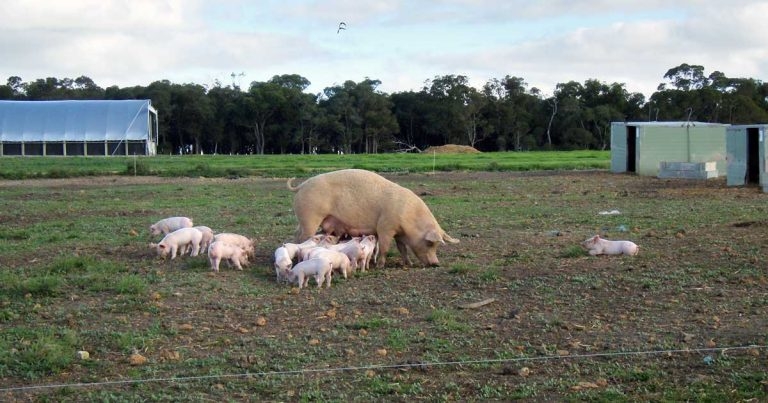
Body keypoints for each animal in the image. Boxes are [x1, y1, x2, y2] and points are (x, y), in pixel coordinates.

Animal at [287, 169, 459, 268]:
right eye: (430, 243)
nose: (436, 264)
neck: (409, 217)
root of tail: (301, 185)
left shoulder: (399, 233)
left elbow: (402, 248)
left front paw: (408, 264)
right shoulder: (385, 227)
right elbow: (384, 247)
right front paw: (380, 266)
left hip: (303, 220)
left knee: (297, 235)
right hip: (311, 216)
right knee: (304, 238)